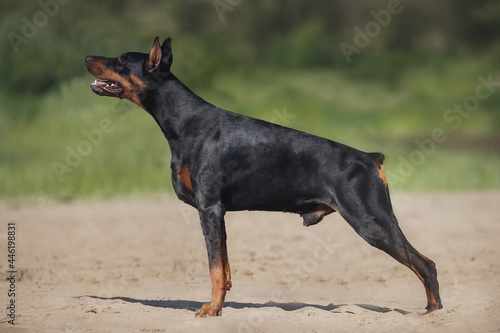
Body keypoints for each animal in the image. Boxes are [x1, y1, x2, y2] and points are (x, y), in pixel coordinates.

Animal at [85, 36, 442, 316]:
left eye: (121, 59)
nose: (87, 58)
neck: (184, 122)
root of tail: (371, 158)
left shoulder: (209, 208)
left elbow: (214, 268)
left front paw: (210, 310)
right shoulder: (218, 214)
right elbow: (224, 268)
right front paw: (220, 306)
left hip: (372, 222)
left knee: (425, 264)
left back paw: (431, 313)